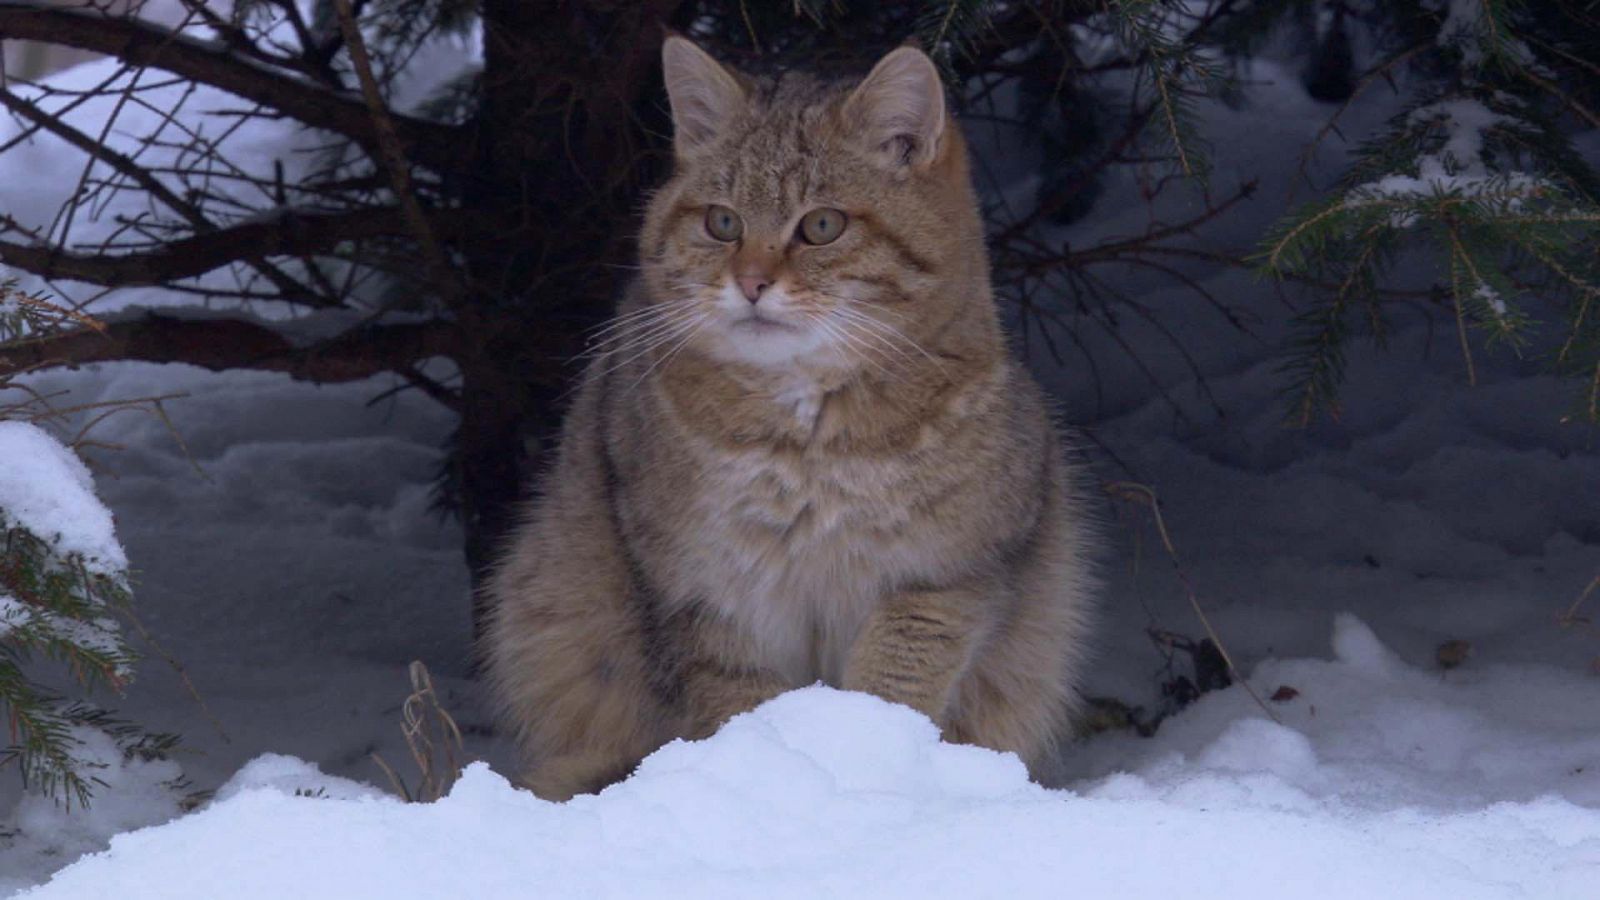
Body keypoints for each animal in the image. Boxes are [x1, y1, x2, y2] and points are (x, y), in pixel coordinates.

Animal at [476, 35, 1100, 797]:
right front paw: (773, 781)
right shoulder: (704, 594)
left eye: (822, 226)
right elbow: (741, 707)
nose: (750, 282)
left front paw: (864, 770)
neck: (810, 438)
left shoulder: (944, 578)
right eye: (722, 222)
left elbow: (890, 693)